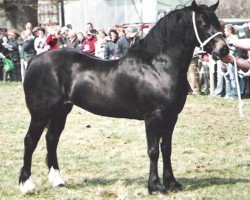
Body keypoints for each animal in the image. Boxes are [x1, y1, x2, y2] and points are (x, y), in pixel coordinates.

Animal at [20, 0, 229, 194]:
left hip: (60, 112)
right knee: (30, 141)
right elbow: (153, 151)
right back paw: (26, 184)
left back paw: (58, 181)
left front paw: (172, 183)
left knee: (51, 139)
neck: (157, 66)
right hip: (40, 114)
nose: (224, 50)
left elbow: (166, 149)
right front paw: (155, 186)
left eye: (217, 21)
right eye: (202, 23)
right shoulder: (153, 117)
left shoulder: (171, 117)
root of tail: (34, 60)